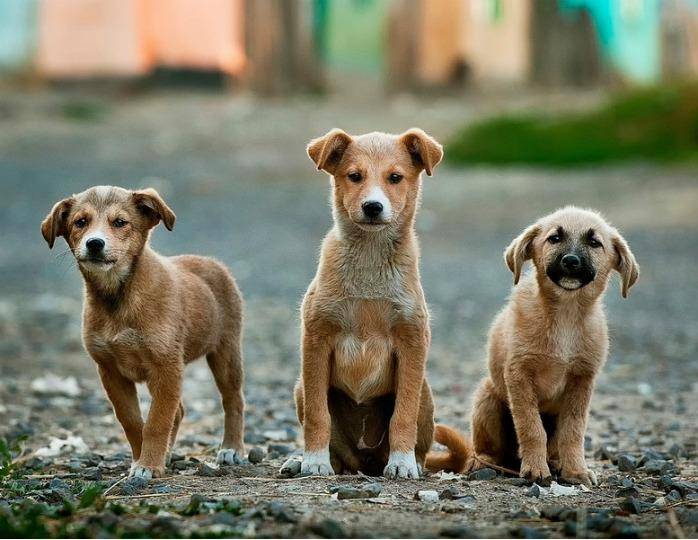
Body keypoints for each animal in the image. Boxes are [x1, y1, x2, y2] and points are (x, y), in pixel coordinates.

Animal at [42, 187, 245, 480]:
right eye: (80, 222)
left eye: (120, 222)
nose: (95, 244)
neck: (118, 297)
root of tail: (211, 262)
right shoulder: (110, 371)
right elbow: (133, 421)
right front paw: (143, 459)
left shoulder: (166, 366)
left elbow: (157, 421)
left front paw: (148, 465)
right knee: (179, 411)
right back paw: (168, 454)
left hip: (226, 353)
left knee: (233, 400)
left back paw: (232, 448)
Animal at [282, 129, 468, 478]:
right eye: (354, 176)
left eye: (395, 177)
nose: (372, 207)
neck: (369, 260)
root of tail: (364, 462)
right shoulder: (316, 339)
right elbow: (317, 414)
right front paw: (313, 460)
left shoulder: (412, 341)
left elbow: (402, 415)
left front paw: (402, 463)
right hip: (301, 386)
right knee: (336, 450)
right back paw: (305, 461)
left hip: (425, 392)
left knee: (418, 440)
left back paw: (410, 462)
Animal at [468, 206, 636, 486]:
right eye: (554, 238)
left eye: (594, 242)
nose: (571, 261)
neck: (566, 315)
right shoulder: (519, 375)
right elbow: (531, 427)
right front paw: (535, 469)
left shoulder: (582, 380)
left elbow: (574, 431)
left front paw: (576, 471)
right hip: (487, 399)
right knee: (488, 448)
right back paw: (483, 462)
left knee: (555, 444)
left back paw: (556, 463)